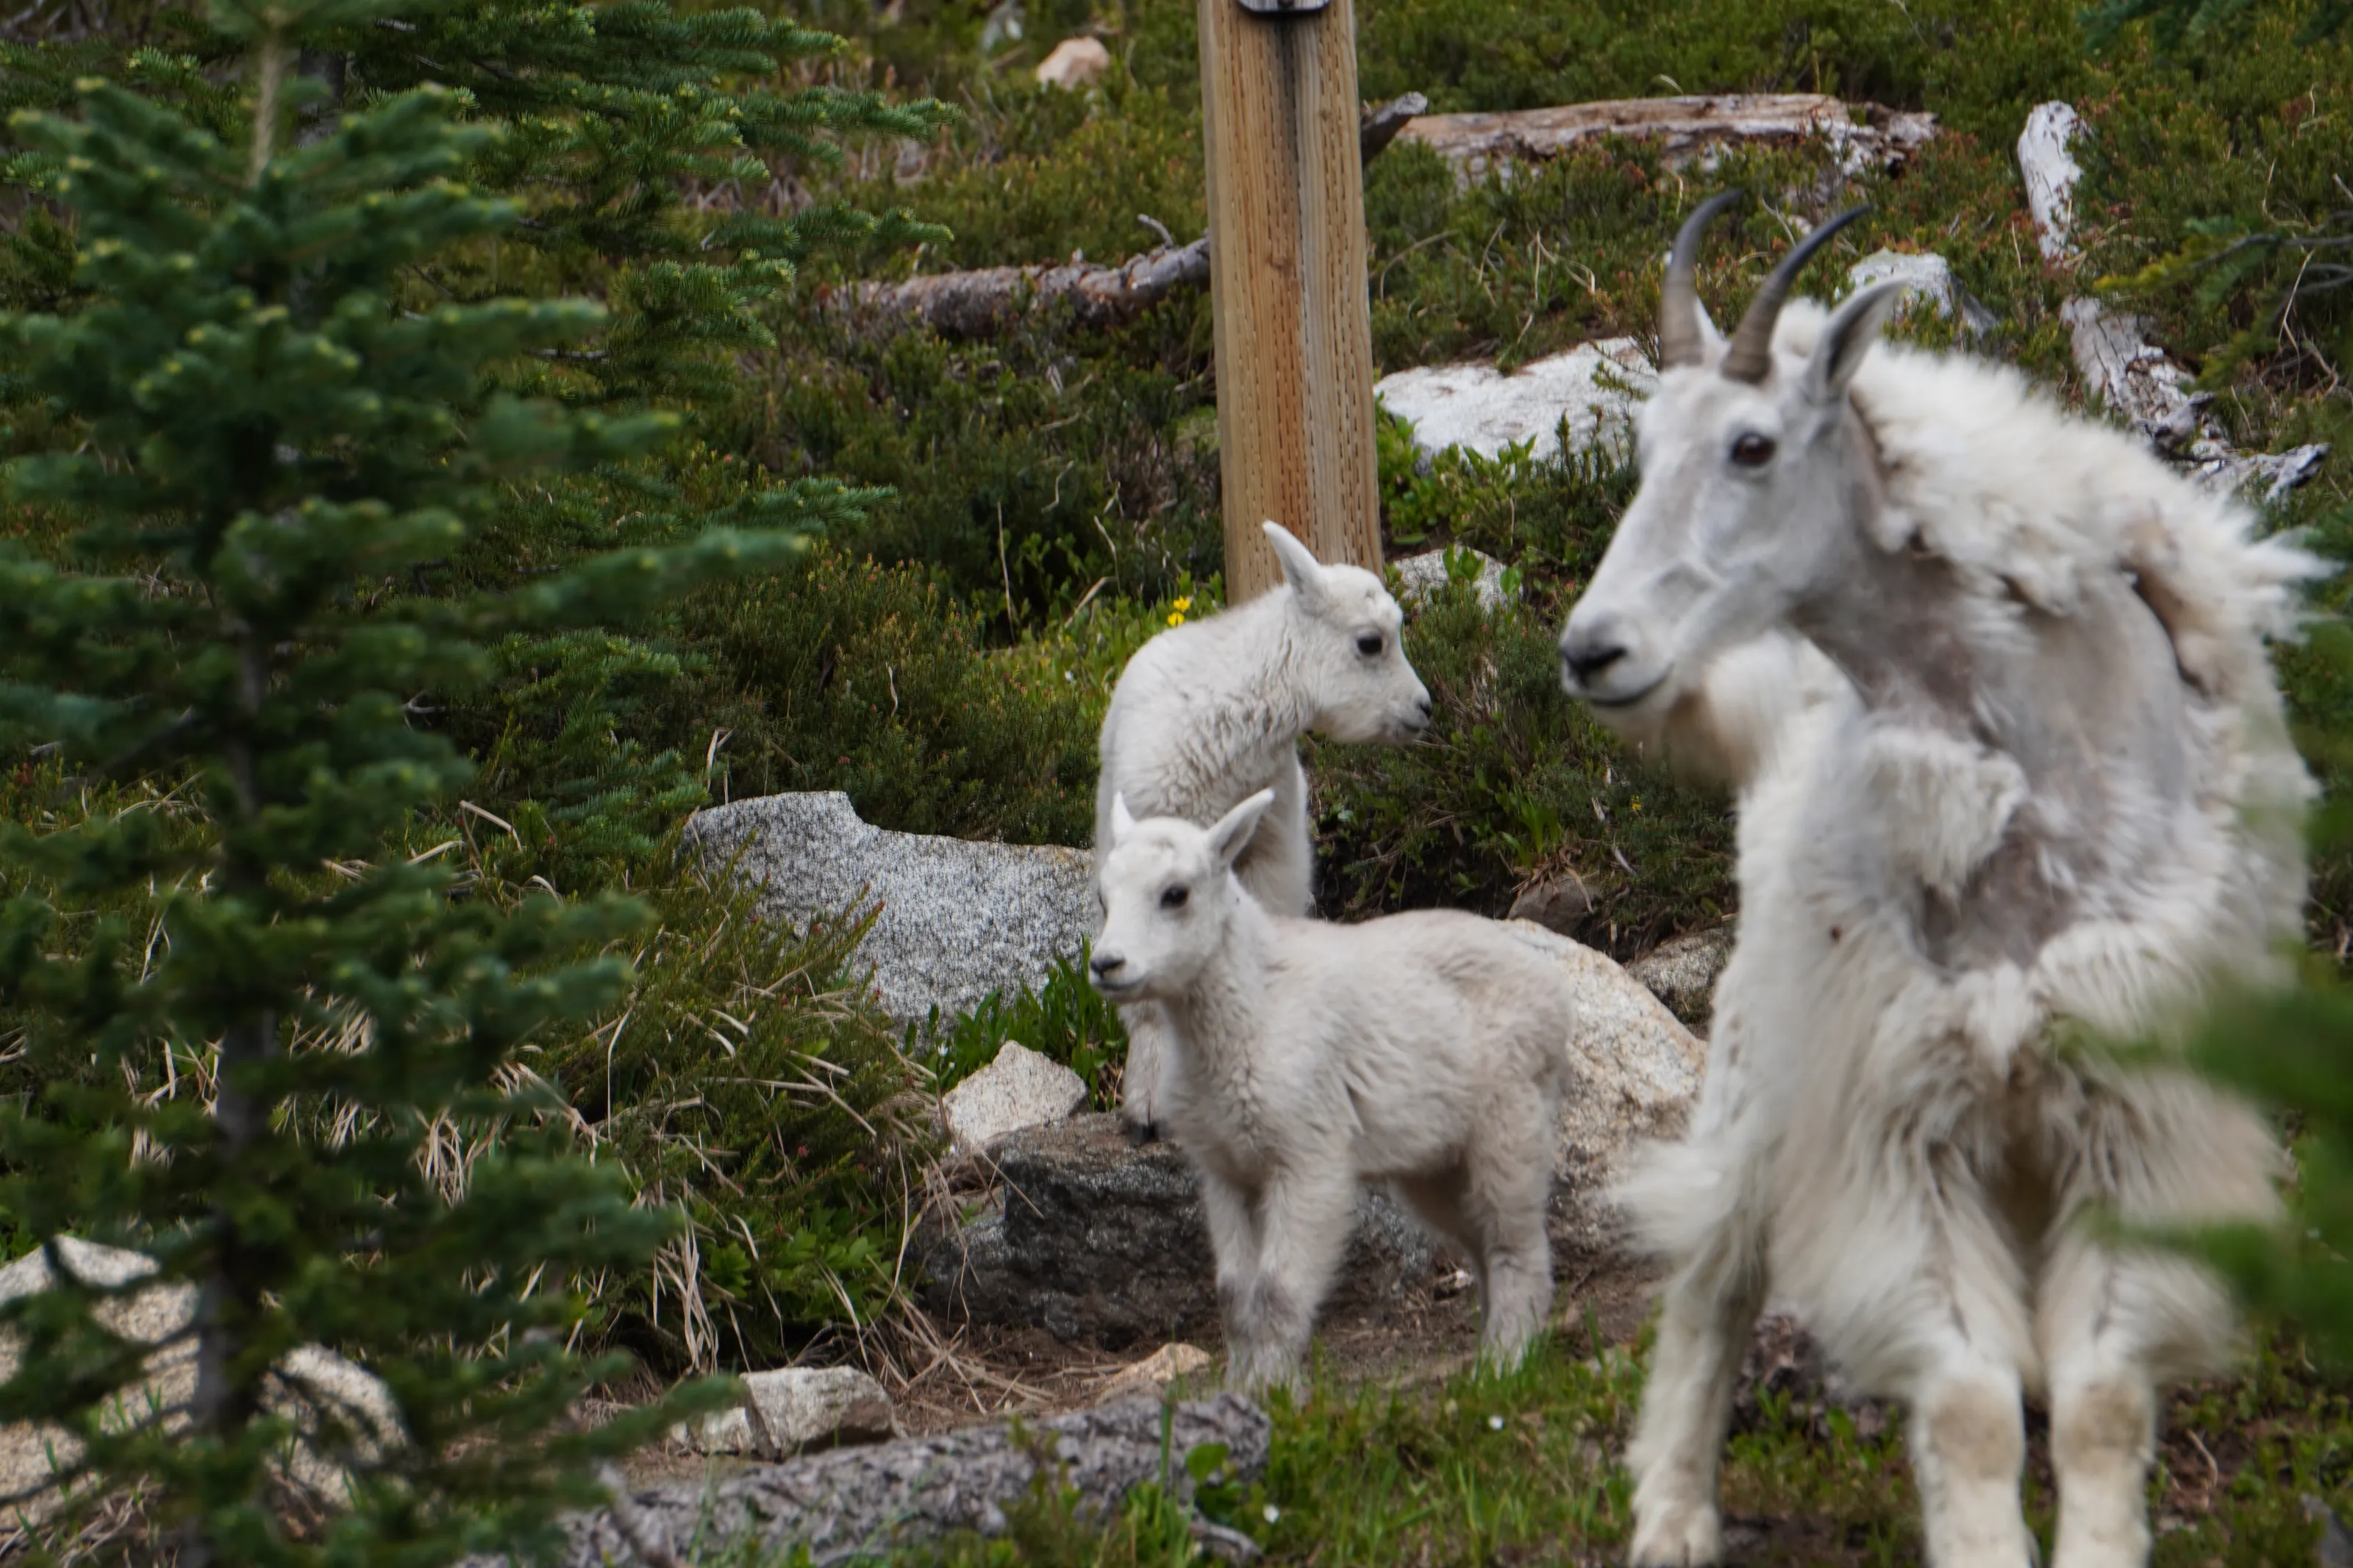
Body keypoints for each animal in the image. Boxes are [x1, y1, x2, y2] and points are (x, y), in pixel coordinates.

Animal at [1559, 192, 2317, 1568]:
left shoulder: (2128, 1100)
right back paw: (1674, 1516)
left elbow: (2101, 1396)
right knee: (1712, 1275)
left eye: (1752, 445)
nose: (1596, 652)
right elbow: (1967, 1403)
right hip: (1762, 1049)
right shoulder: (1899, 1101)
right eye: (1642, 445)